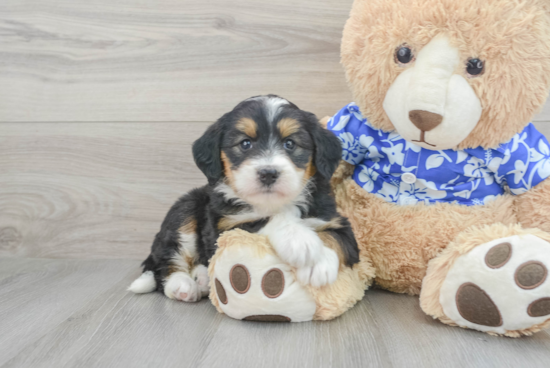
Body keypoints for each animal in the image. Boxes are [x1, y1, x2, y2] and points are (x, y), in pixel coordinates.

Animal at [129, 95, 362, 302]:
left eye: (290, 143)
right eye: (245, 143)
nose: (268, 173)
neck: (275, 203)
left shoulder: (337, 220)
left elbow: (333, 237)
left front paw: (319, 263)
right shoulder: (225, 227)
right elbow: (264, 220)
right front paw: (300, 241)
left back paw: (202, 278)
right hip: (185, 208)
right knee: (166, 262)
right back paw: (182, 285)